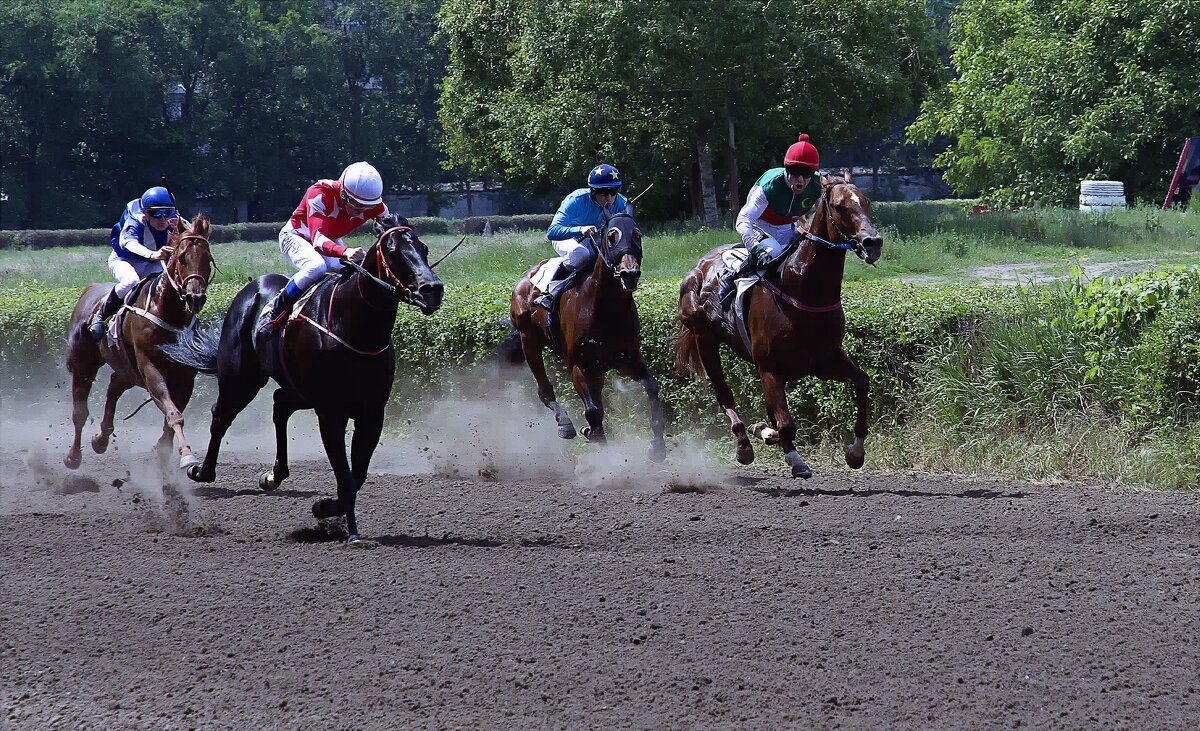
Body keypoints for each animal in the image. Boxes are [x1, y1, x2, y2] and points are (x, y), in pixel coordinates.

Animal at [63, 213, 214, 470]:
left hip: (127, 369)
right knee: (80, 412)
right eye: (182, 257)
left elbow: (172, 417)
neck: (167, 312)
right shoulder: (150, 366)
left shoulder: (185, 375)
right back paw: (73, 456)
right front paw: (187, 455)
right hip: (84, 363)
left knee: (114, 386)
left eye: (208, 258)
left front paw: (165, 449)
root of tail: (89, 290)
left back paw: (100, 439)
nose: (195, 298)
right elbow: (173, 413)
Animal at [168, 213, 446, 537]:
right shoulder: (330, 411)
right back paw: (202, 470)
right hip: (241, 379)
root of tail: (253, 287)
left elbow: (358, 474)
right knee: (222, 414)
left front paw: (333, 513)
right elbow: (346, 475)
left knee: (279, 404)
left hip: (298, 388)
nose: (432, 289)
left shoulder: (372, 412)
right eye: (393, 252)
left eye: (424, 249)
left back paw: (274, 474)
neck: (353, 327)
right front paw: (340, 523)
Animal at [504, 207, 667, 458]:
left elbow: (651, 387)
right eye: (611, 236)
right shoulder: (579, 365)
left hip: (597, 369)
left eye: (637, 234)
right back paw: (565, 424)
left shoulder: (627, 360)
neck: (605, 310)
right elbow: (593, 412)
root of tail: (525, 278)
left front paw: (658, 447)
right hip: (528, 339)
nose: (629, 274)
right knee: (544, 390)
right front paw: (596, 440)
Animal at [676, 174, 883, 475]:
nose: (873, 242)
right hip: (705, 340)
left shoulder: (824, 361)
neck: (803, 289)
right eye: (839, 206)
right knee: (724, 394)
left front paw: (855, 452)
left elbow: (862, 382)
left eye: (866, 201)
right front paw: (778, 444)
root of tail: (700, 265)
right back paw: (744, 444)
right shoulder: (769, 367)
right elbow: (785, 425)